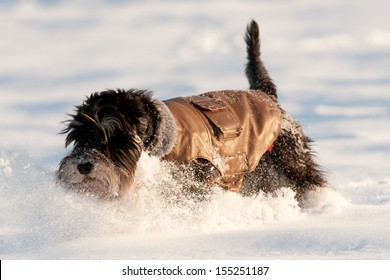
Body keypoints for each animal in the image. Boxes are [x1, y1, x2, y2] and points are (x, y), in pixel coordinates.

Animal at [57, 19, 326, 203]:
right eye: (78, 137)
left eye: (116, 136)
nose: (83, 166)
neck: (162, 136)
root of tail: (265, 93)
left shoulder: (199, 176)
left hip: (290, 161)